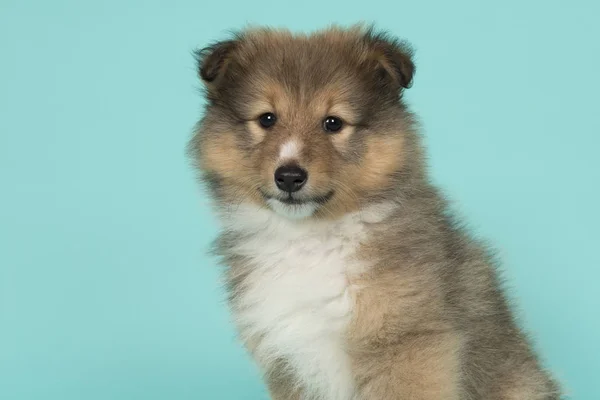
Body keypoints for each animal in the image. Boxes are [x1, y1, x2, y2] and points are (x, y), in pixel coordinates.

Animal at [189, 24, 564, 400]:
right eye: (267, 119)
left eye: (333, 123)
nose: (289, 176)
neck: (309, 239)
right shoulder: (288, 357)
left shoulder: (407, 345)